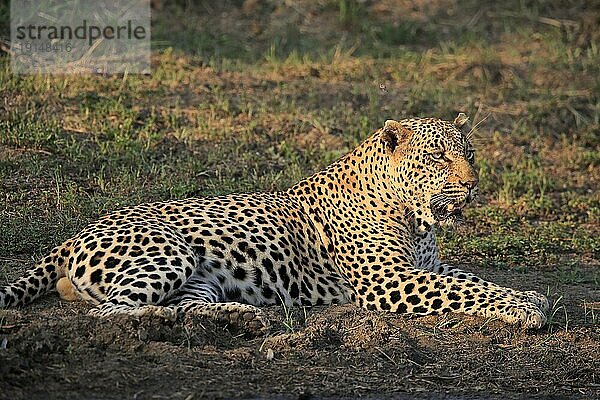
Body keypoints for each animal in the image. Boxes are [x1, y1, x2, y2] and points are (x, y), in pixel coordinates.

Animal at [0, 113, 548, 332]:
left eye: (469, 154)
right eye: (436, 157)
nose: (474, 184)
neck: (415, 219)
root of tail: (74, 234)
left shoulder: (425, 266)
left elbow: (470, 278)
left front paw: (528, 298)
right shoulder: (388, 280)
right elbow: (463, 289)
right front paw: (527, 307)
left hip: (198, 278)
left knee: (184, 306)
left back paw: (243, 317)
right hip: (168, 253)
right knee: (110, 312)